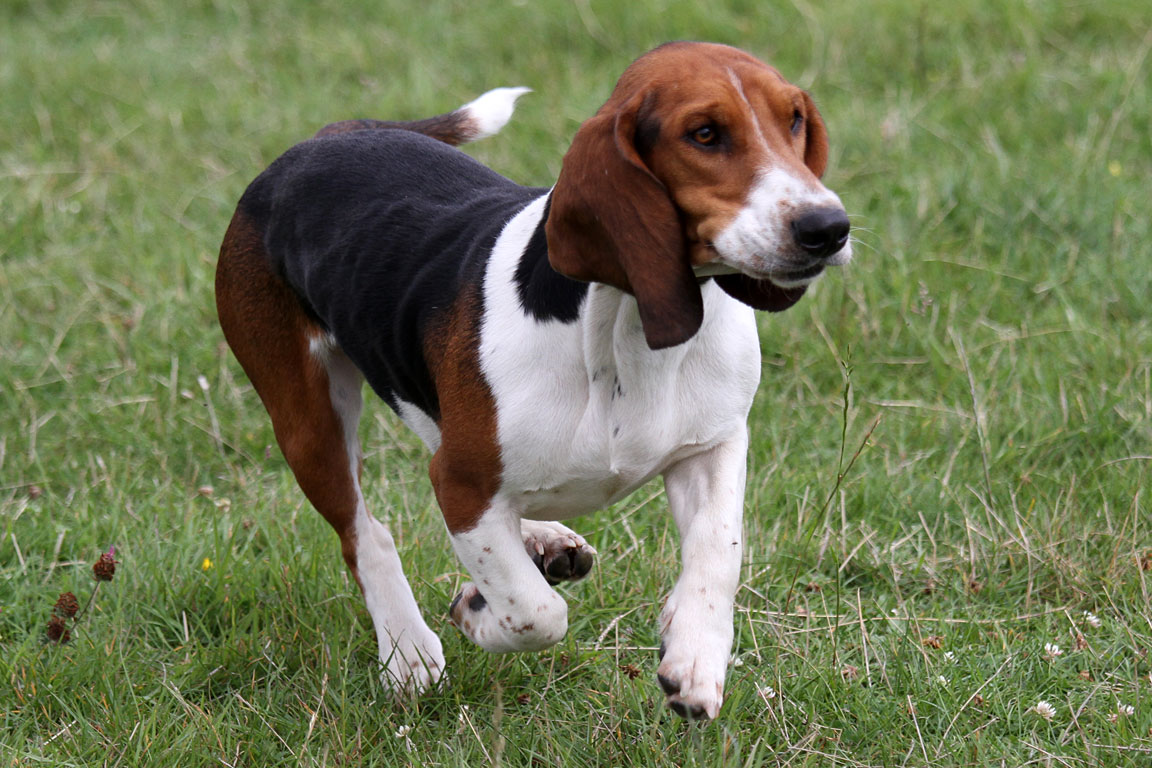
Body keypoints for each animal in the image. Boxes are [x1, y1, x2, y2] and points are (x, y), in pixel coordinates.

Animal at [214, 42, 847, 723]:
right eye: (704, 134)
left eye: (794, 120)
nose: (828, 227)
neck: (625, 326)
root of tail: (325, 139)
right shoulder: (461, 482)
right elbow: (535, 614)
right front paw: (475, 611)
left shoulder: (713, 446)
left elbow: (717, 553)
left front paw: (695, 656)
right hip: (308, 421)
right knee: (365, 534)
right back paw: (407, 648)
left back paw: (541, 540)